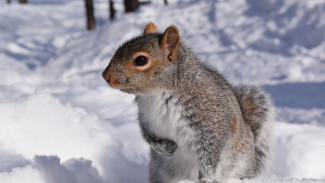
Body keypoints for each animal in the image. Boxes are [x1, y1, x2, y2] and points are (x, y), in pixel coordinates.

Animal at [102, 23, 274, 183]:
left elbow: (211, 151)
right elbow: (147, 135)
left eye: (141, 60)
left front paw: (207, 178)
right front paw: (164, 147)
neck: (155, 95)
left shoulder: (211, 118)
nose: (105, 75)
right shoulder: (145, 118)